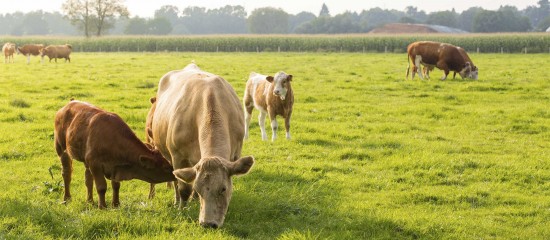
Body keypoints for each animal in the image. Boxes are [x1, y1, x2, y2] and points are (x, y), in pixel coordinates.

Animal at [153, 62, 256, 229]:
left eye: (223, 188)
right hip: (169, 157)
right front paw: (182, 209)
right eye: (199, 188)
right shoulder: (178, 157)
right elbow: (184, 188)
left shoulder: (235, 155)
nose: (208, 223)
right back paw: (177, 201)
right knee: (175, 180)